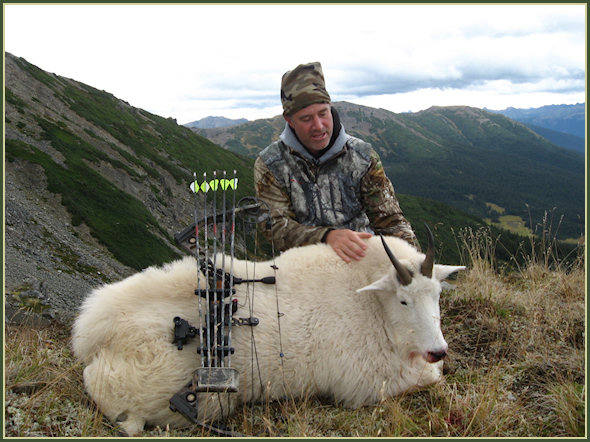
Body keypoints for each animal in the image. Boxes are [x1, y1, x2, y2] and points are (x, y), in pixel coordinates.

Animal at [71, 231, 464, 436]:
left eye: (437, 295)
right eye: (403, 300)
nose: (438, 349)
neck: (370, 302)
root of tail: (92, 334)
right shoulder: (365, 384)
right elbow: (432, 377)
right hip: (197, 398)